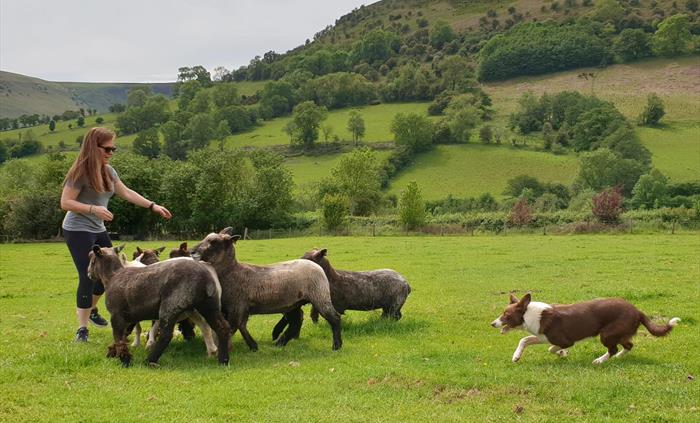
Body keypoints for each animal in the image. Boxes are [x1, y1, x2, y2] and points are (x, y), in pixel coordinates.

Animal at [87, 245, 231, 367]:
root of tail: (206, 278)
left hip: (171, 305)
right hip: (208, 304)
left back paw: (150, 360)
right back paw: (223, 360)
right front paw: (114, 353)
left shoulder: (116, 314)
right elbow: (124, 335)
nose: (88, 273)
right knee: (221, 327)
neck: (112, 276)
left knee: (166, 335)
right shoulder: (129, 317)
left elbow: (119, 339)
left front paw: (124, 359)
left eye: (92, 259)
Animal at [191, 228, 342, 351]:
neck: (232, 272)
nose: (192, 252)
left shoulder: (237, 306)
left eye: (214, 242)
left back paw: (337, 345)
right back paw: (280, 342)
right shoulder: (240, 308)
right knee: (295, 322)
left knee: (334, 318)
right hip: (294, 303)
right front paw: (253, 346)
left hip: (319, 295)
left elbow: (234, 327)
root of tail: (317, 267)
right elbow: (241, 326)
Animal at [272, 248, 411, 341]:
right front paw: (316, 326)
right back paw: (379, 323)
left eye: (308, 258)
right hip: (389, 305)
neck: (330, 277)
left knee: (394, 316)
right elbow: (314, 315)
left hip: (394, 303)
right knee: (392, 316)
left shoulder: (333, 304)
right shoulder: (318, 302)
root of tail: (406, 283)